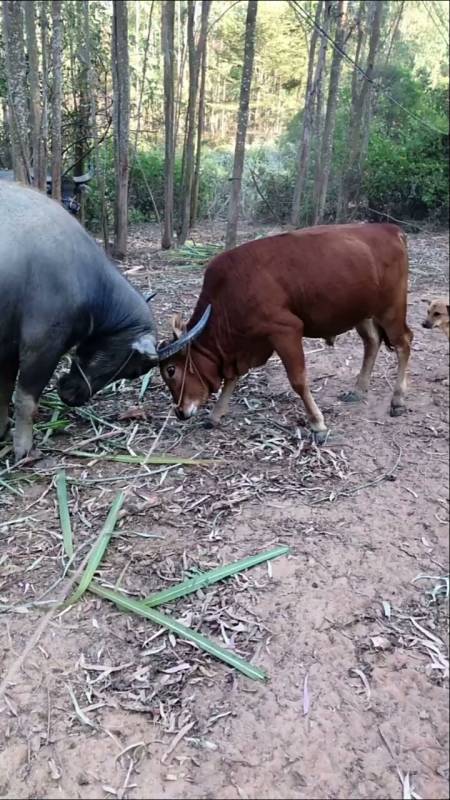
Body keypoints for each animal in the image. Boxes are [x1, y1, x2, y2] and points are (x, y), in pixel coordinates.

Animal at [0, 180, 207, 456]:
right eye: (136, 370)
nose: (70, 396)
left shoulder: (9, 350)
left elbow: (3, 392)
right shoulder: (41, 347)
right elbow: (25, 400)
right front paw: (23, 449)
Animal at [160, 222, 414, 440]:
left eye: (171, 370)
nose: (180, 412)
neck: (228, 295)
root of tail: (390, 229)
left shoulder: (286, 330)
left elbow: (298, 380)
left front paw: (317, 424)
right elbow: (232, 379)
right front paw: (215, 415)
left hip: (391, 309)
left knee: (404, 342)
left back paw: (398, 400)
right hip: (362, 312)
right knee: (372, 342)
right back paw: (359, 389)